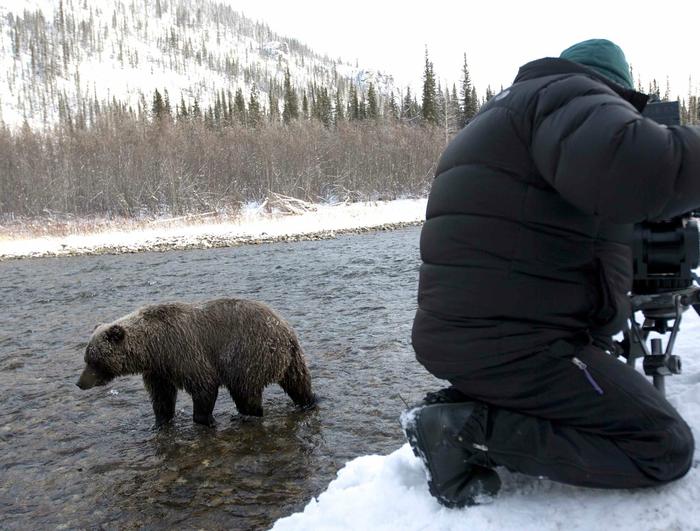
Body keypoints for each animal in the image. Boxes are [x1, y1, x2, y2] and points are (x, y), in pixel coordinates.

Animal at [76, 300, 314, 428]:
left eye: (93, 360)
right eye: (86, 358)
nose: (80, 383)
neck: (153, 347)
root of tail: (286, 330)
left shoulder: (182, 351)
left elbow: (203, 385)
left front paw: (204, 419)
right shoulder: (158, 370)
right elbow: (162, 397)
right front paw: (160, 421)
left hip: (248, 353)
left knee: (245, 392)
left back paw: (248, 414)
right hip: (290, 360)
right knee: (298, 383)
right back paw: (308, 401)